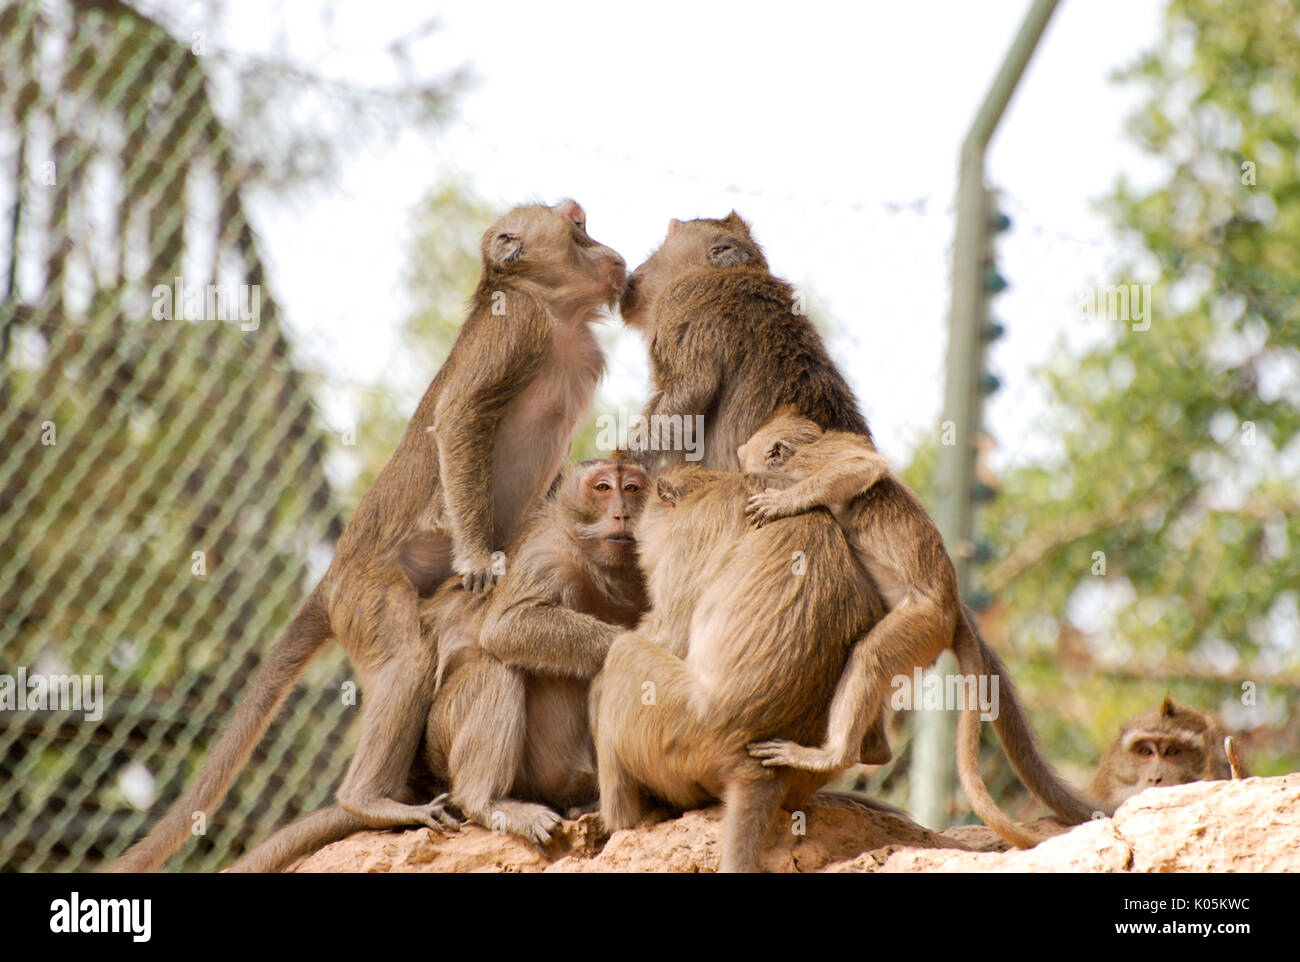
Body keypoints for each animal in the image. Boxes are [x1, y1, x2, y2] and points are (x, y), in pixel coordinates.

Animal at [592, 462, 889, 873]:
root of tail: (755, 769)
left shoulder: (689, 538)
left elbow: (669, 634)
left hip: (680, 731)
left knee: (625, 655)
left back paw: (625, 821)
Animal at [738, 410, 1102, 847]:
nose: (739, 460)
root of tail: (950, 605)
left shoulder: (812, 461)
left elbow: (861, 467)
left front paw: (784, 502)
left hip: (921, 622)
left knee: (871, 656)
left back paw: (835, 754)